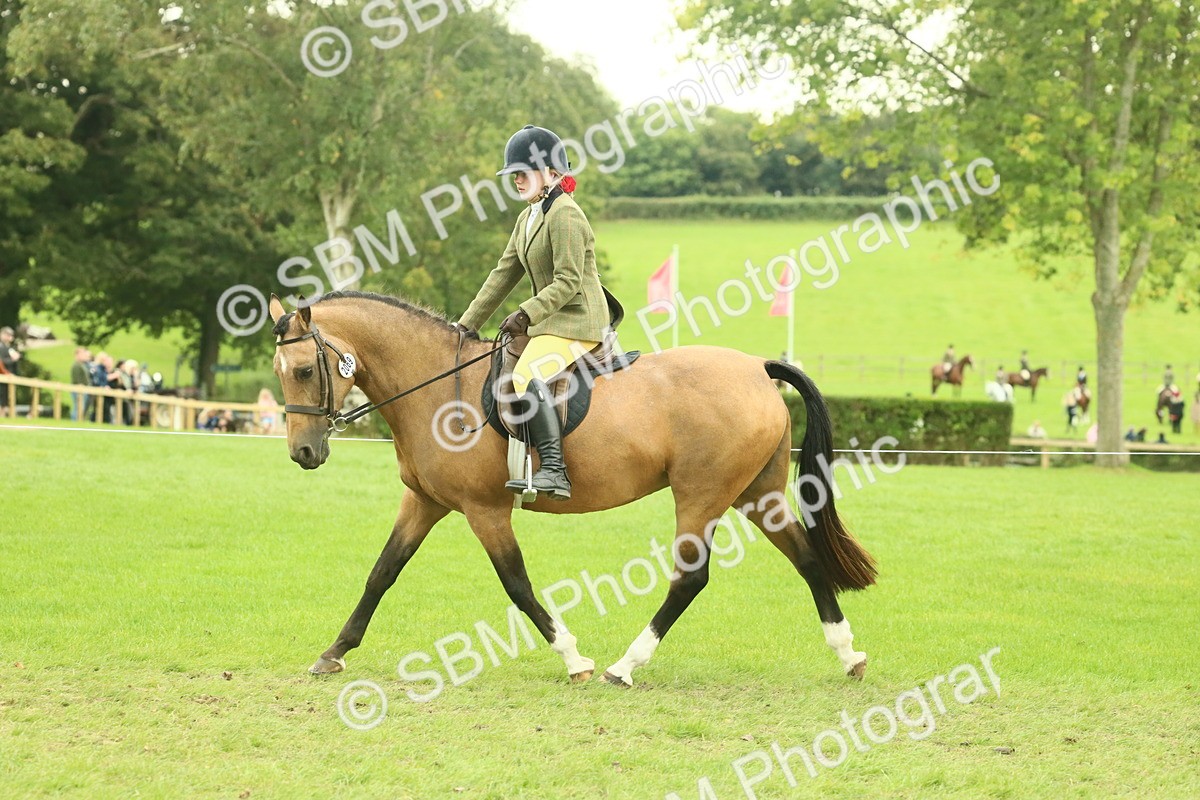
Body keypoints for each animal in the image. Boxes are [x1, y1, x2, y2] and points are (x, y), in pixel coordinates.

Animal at [266, 292, 877, 687]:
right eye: (280, 372)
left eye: (303, 371)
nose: (303, 453)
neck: (436, 388)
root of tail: (756, 368)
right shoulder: (426, 502)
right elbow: (382, 573)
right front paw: (333, 653)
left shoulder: (485, 510)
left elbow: (516, 584)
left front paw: (571, 658)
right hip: (757, 494)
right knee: (806, 557)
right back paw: (848, 653)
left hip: (701, 495)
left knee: (690, 577)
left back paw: (623, 667)